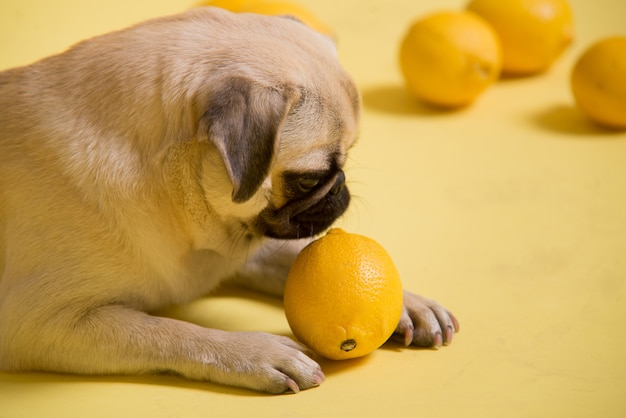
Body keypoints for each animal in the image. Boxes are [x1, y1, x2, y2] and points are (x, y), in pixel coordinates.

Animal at [0, 7, 458, 396]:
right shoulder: (39, 325)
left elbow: (291, 256)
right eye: (309, 179)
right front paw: (255, 353)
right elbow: (167, 330)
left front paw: (407, 303)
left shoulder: (235, 250)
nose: (340, 190)